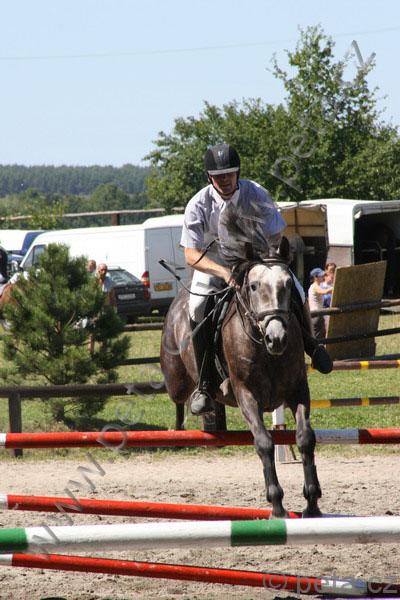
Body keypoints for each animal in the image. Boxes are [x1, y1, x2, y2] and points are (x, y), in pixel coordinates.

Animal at [160, 237, 322, 518]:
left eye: (289, 284)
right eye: (254, 286)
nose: (277, 338)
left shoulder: (298, 391)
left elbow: (305, 438)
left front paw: (312, 502)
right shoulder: (246, 394)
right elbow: (264, 442)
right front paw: (277, 505)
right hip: (176, 381)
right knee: (179, 399)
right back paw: (185, 420)